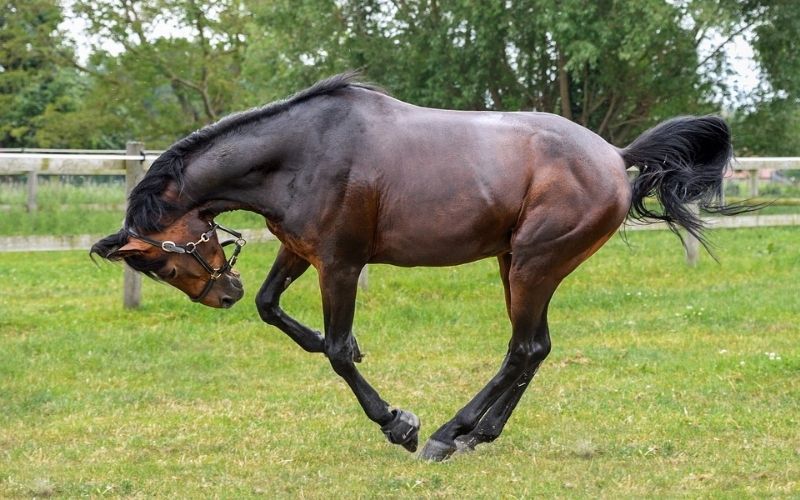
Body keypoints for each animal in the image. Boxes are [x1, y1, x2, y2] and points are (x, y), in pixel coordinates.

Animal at [91, 72, 736, 461]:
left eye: (165, 266)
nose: (222, 293)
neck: (299, 153)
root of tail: (615, 156)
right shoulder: (300, 251)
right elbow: (273, 308)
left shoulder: (340, 263)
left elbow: (336, 350)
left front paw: (397, 423)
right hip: (515, 263)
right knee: (534, 349)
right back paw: (478, 434)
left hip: (533, 264)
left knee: (523, 349)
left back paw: (451, 434)